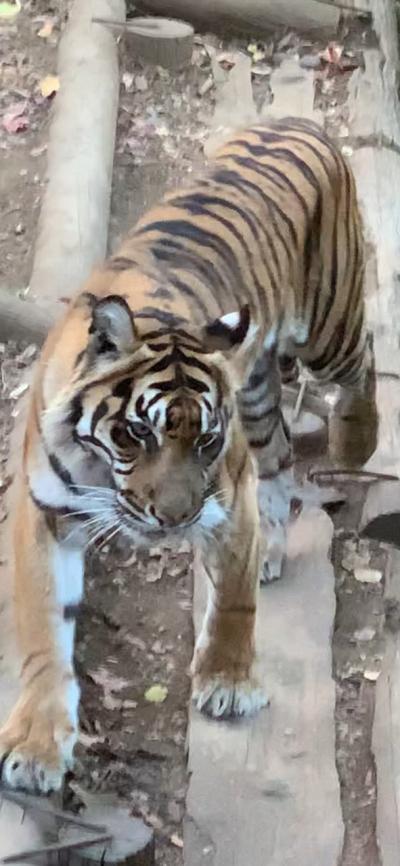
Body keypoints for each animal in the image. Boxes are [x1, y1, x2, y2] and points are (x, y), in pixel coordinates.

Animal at [0, 116, 378, 788]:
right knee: (280, 456)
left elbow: (233, 598)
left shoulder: (226, 490)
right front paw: (40, 746)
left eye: (204, 440)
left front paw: (228, 682)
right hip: (258, 396)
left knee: (364, 361)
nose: (175, 520)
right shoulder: (45, 513)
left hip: (326, 327)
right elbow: (44, 625)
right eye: (134, 433)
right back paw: (273, 548)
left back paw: (357, 440)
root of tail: (297, 122)